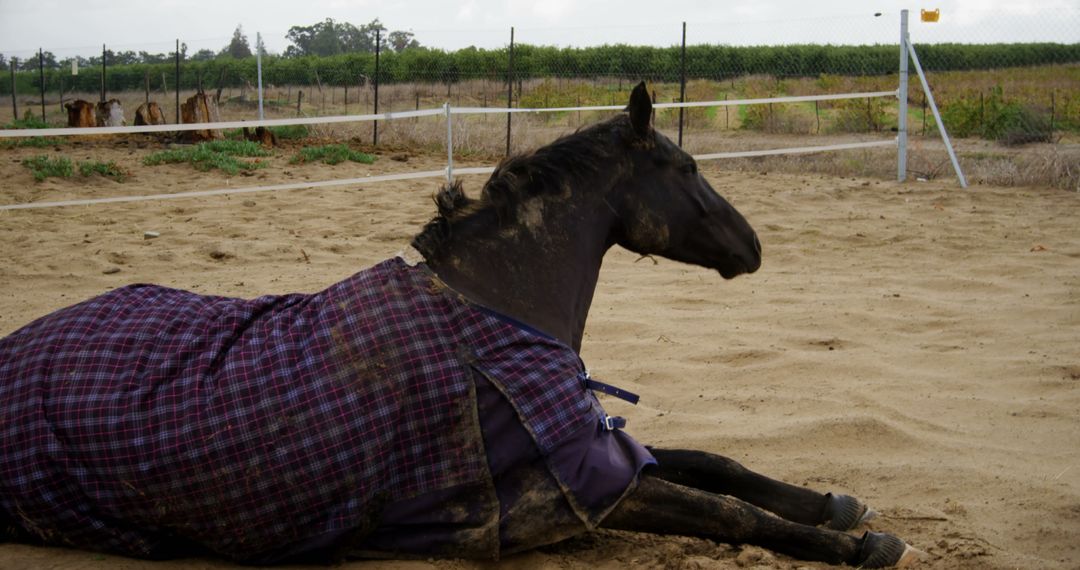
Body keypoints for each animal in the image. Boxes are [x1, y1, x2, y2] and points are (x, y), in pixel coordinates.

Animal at [0, 82, 920, 565]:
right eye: (688, 166)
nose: (754, 247)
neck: (497, 313)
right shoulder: (580, 496)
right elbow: (724, 511)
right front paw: (861, 545)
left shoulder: (599, 447)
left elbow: (715, 464)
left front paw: (834, 504)